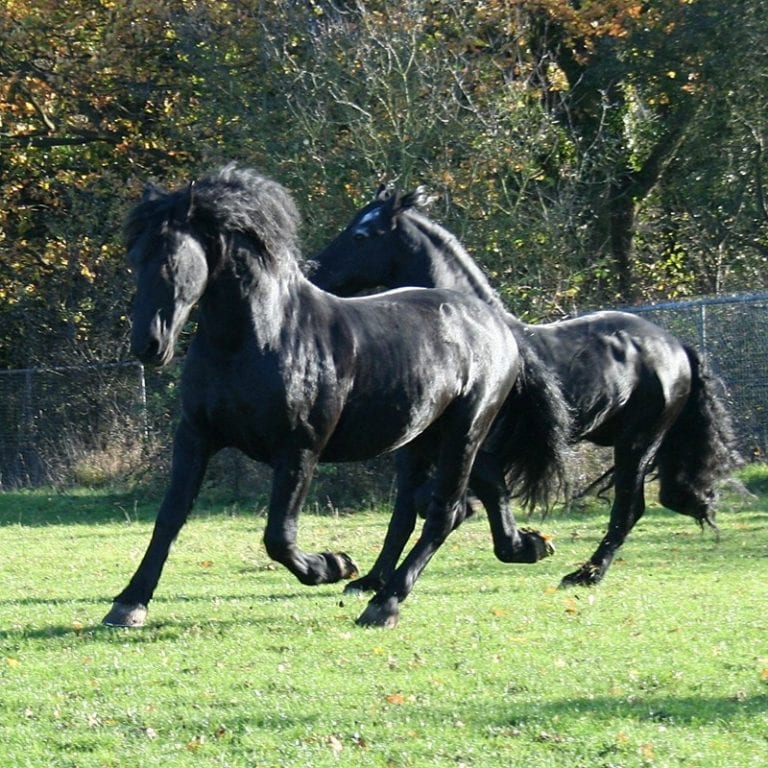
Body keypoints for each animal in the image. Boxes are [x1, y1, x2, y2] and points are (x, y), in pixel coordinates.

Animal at [102, 164, 559, 630]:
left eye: (171, 259)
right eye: (134, 258)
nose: (148, 344)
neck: (258, 338)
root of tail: (498, 325)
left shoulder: (300, 447)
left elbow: (279, 536)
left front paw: (334, 565)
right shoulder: (195, 437)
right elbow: (169, 518)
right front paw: (129, 602)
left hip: (463, 433)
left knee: (443, 512)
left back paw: (384, 603)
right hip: (428, 437)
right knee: (475, 495)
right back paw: (526, 546)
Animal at [310, 186, 740, 588]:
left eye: (361, 235)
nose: (314, 272)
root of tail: (675, 345)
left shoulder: (479, 449)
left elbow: (458, 500)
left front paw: (527, 544)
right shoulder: (414, 452)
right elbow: (402, 514)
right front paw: (369, 580)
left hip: (638, 442)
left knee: (628, 508)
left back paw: (586, 574)